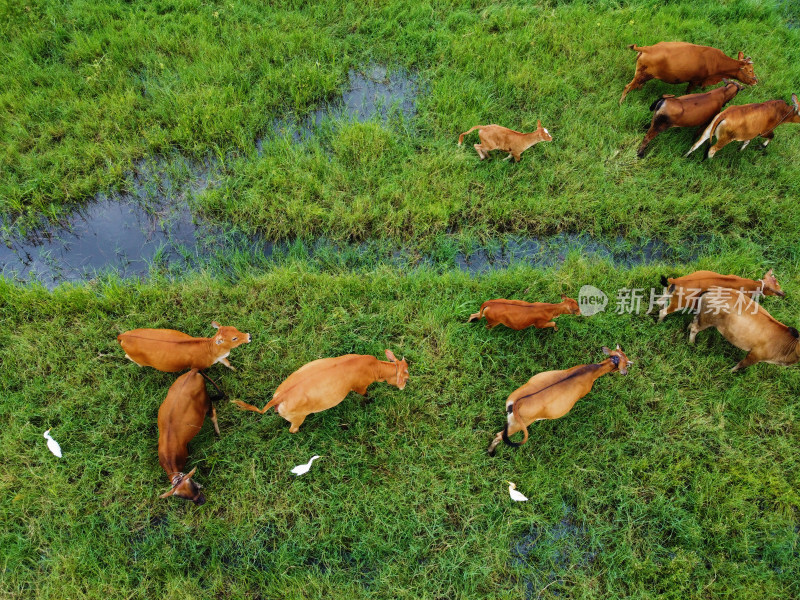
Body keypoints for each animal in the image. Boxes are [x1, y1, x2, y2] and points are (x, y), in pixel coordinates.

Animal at [117, 322, 250, 372]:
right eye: (234, 338)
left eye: (234, 328)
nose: (249, 336)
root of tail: (123, 335)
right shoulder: (197, 367)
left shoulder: (220, 357)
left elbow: (227, 363)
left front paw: (236, 370)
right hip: (138, 359)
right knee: (128, 357)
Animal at [157, 370, 222, 506]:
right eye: (183, 497)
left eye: (194, 486)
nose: (201, 501)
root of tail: (193, 371)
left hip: (206, 402)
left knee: (213, 413)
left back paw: (217, 433)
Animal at [230, 350, 406, 434]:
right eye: (407, 376)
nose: (404, 387)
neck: (373, 367)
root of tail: (279, 397)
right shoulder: (360, 387)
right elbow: (366, 395)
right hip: (298, 418)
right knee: (293, 429)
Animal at [484, 346, 636, 454]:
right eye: (627, 364)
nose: (626, 372)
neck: (591, 372)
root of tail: (517, 403)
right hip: (518, 425)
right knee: (499, 436)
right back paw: (490, 452)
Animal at [620, 42, 756, 104]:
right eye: (750, 70)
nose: (756, 81)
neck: (716, 61)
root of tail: (648, 48)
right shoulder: (695, 80)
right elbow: (688, 92)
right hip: (642, 75)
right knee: (627, 87)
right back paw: (621, 102)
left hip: (642, 74)